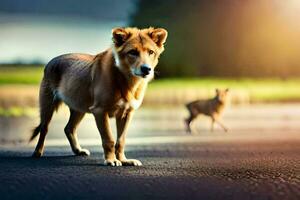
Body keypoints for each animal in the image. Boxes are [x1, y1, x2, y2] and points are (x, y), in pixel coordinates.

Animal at [29, 27, 168, 166]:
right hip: (48, 106)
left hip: (79, 108)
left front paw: (124, 160)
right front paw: (111, 160)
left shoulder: (127, 113)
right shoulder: (100, 111)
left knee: (69, 128)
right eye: (132, 52)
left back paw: (78, 150)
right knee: (44, 129)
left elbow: (121, 140)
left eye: (151, 52)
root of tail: (51, 61)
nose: (146, 69)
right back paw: (37, 152)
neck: (126, 80)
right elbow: (109, 139)